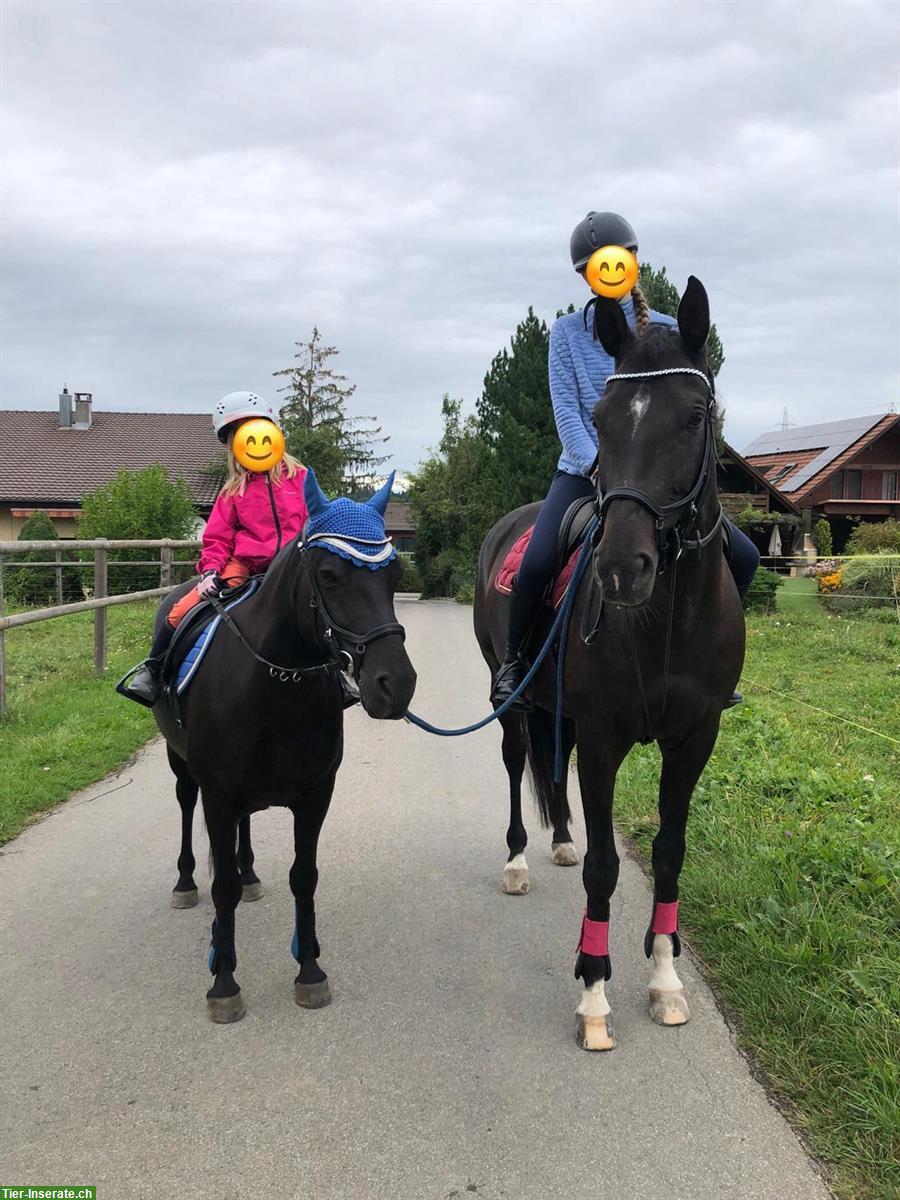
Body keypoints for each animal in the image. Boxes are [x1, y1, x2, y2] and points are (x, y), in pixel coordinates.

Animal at [150, 468, 415, 1022]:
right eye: (330, 576)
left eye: (395, 573)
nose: (396, 685)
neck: (273, 684)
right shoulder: (218, 794)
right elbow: (222, 886)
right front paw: (224, 981)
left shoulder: (315, 795)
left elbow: (304, 876)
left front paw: (310, 970)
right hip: (181, 765)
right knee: (186, 809)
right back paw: (185, 883)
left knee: (244, 835)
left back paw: (251, 873)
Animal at [475, 280, 744, 1051]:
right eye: (598, 418)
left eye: (694, 416)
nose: (623, 568)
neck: (667, 621)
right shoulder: (603, 739)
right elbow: (605, 867)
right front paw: (594, 991)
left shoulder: (696, 738)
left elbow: (669, 853)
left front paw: (666, 978)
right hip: (512, 699)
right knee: (517, 764)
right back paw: (517, 861)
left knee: (549, 760)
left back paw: (560, 839)